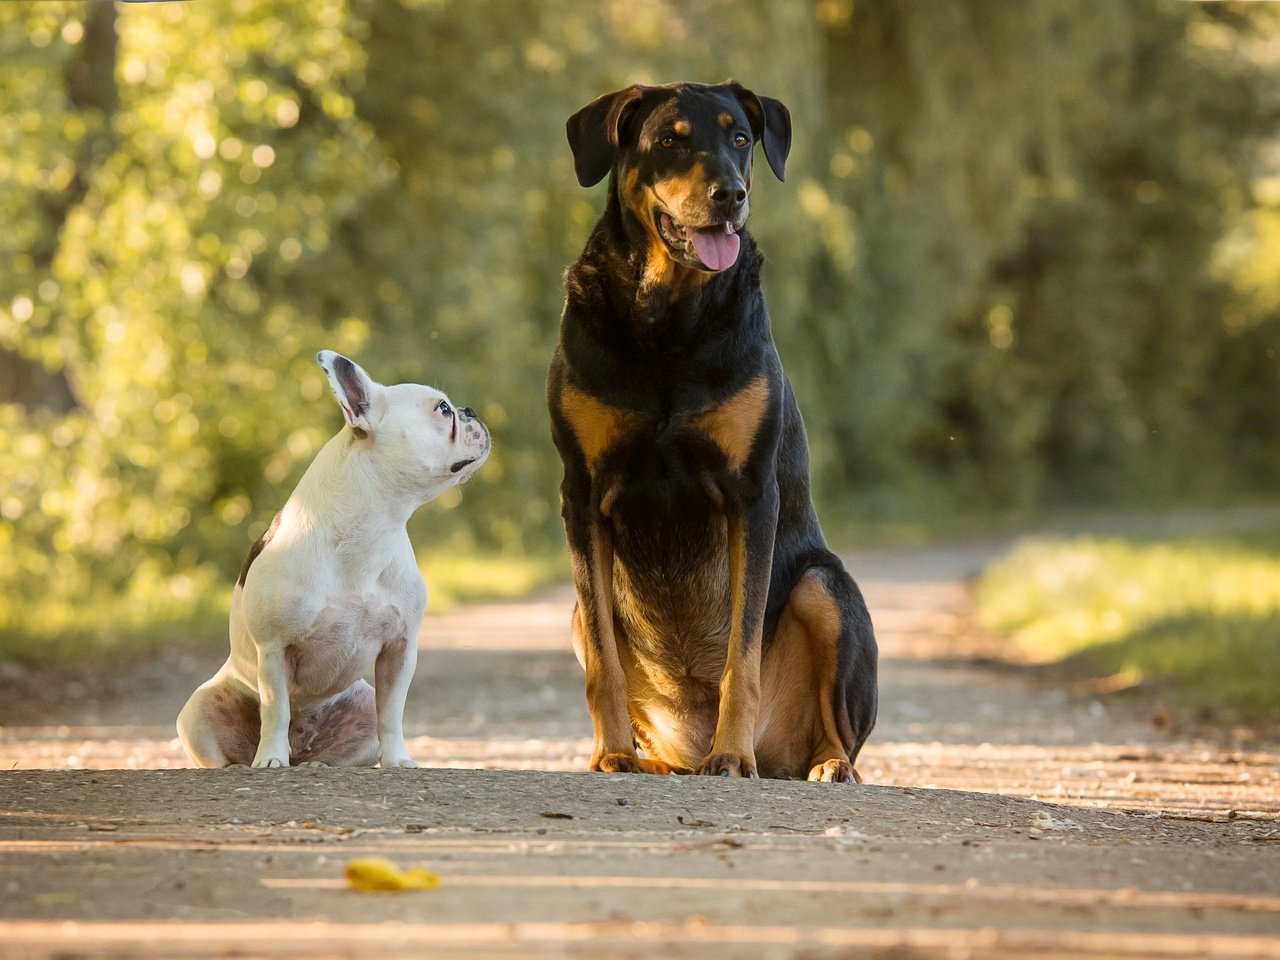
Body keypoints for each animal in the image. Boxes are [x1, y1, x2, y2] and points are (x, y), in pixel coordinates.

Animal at [545, 80, 875, 783]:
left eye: (741, 137)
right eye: (669, 139)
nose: (732, 192)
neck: (669, 319)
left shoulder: (751, 491)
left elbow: (740, 656)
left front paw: (732, 754)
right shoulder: (582, 492)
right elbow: (605, 664)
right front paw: (611, 753)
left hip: (826, 588)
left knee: (840, 727)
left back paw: (824, 764)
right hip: (577, 615)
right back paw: (651, 758)